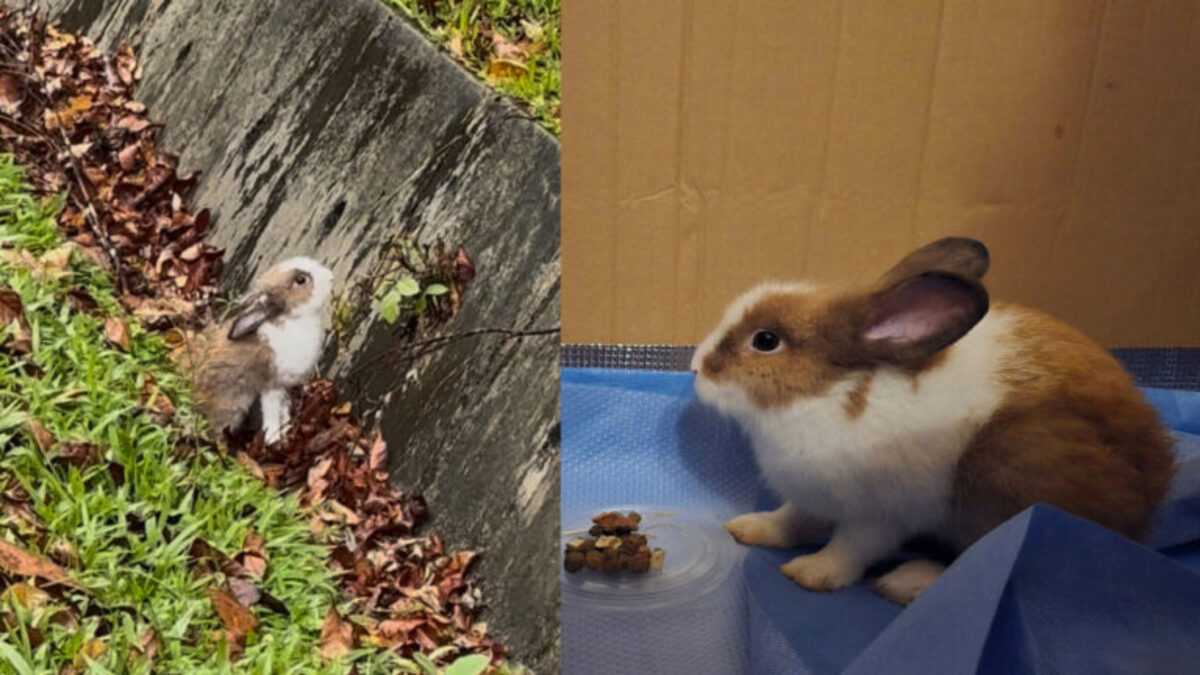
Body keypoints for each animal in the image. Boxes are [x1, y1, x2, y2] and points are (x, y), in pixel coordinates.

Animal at [190, 256, 333, 444]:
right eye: (301, 280)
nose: (330, 277)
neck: (292, 321)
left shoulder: (283, 387)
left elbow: (284, 409)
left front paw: (286, 429)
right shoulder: (271, 386)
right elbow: (272, 413)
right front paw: (274, 440)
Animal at [691, 237, 1174, 605]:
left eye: (765, 340)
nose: (696, 367)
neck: (832, 393)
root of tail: (1148, 502)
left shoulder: (880, 515)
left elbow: (851, 548)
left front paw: (810, 573)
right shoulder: (811, 494)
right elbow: (792, 519)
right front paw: (750, 529)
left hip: (1008, 473)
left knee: (989, 559)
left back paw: (908, 583)